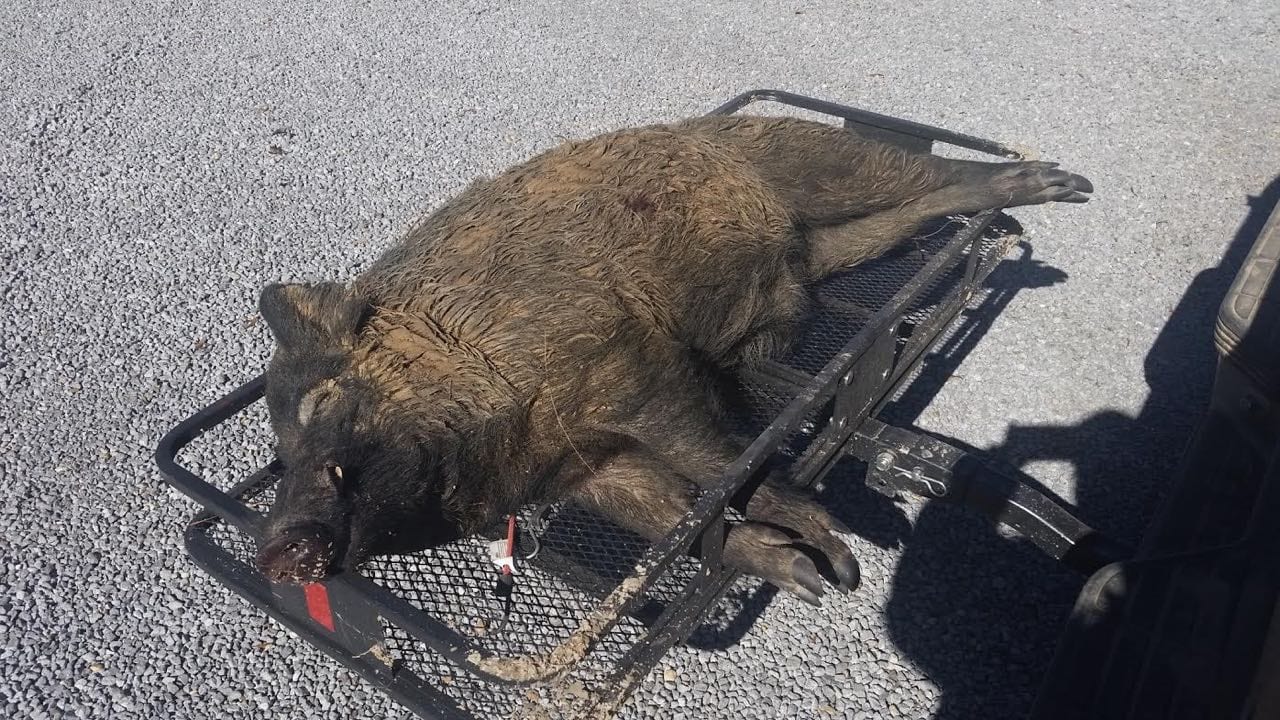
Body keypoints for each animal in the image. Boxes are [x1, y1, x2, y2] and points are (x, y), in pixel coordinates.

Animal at [253, 114, 1092, 605]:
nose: (273, 551)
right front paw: (811, 578)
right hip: (836, 242)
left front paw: (845, 562)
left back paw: (1063, 188)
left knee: (939, 174)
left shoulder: (637, 366)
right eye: (279, 450)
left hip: (824, 164)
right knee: (910, 214)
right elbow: (678, 518)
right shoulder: (593, 469)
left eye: (321, 401)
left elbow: (720, 465)